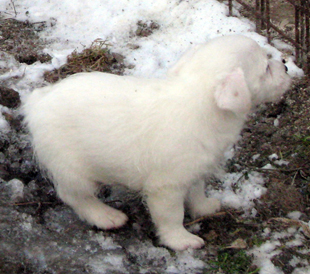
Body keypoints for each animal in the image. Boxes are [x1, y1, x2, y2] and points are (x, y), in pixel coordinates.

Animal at [23, 34, 290, 250]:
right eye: (267, 67)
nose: (287, 66)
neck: (199, 100)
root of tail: (37, 101)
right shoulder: (166, 188)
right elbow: (172, 217)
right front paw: (181, 240)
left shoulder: (192, 170)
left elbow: (197, 191)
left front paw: (204, 208)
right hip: (74, 170)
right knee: (75, 196)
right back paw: (106, 216)